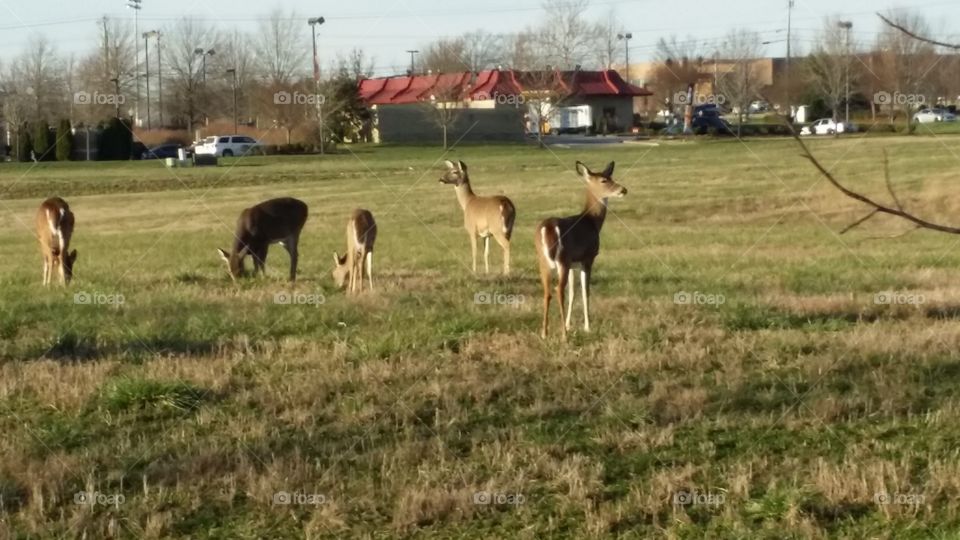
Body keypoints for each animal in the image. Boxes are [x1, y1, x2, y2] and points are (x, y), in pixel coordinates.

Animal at [535, 161, 627, 339]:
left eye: (611, 177)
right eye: (604, 180)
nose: (623, 190)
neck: (592, 221)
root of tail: (547, 228)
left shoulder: (573, 264)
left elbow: (572, 293)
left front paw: (569, 324)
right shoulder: (588, 258)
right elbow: (585, 292)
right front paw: (587, 327)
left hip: (544, 261)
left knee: (547, 292)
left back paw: (544, 333)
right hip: (562, 259)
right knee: (558, 290)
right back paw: (563, 334)